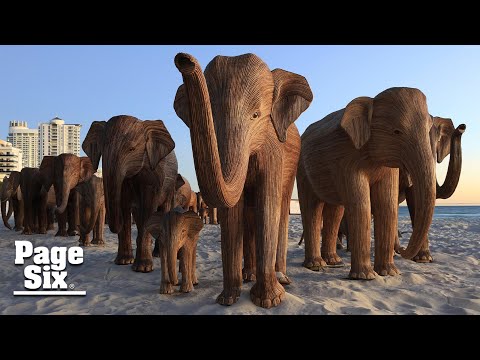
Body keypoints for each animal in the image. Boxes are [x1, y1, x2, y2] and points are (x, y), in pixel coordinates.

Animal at [81, 115, 177, 272]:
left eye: (132, 149)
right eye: (102, 150)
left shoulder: (153, 173)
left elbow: (148, 209)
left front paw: (143, 268)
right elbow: (124, 206)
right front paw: (123, 262)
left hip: (171, 185)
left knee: (163, 209)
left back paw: (157, 254)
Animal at [174, 52, 314, 308]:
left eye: (256, 115)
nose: (183, 60)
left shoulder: (274, 150)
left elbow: (267, 206)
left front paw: (269, 301)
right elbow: (232, 212)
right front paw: (227, 299)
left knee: (280, 208)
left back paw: (282, 278)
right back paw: (249, 275)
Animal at [300, 87, 438, 278]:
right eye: (396, 132)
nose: (402, 250)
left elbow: (387, 205)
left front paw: (389, 273)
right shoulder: (347, 157)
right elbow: (361, 205)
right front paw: (365, 277)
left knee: (335, 211)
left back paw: (333, 262)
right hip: (302, 167)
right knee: (312, 208)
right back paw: (315, 265)